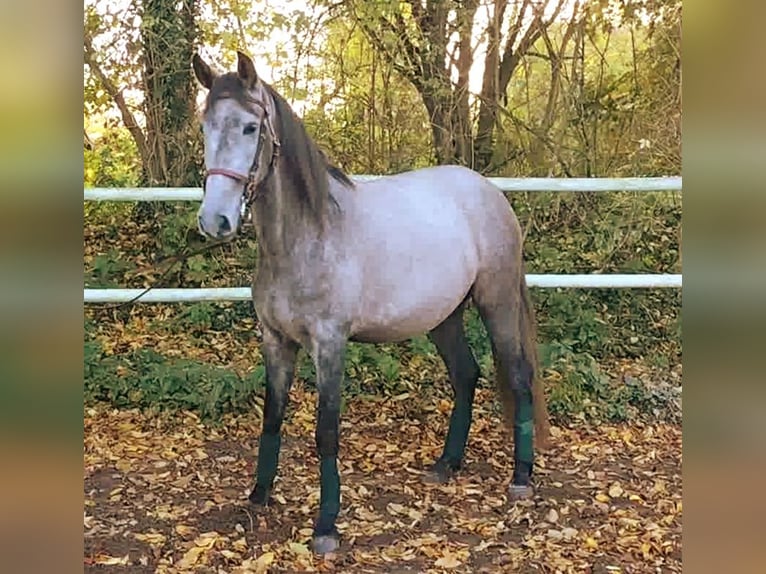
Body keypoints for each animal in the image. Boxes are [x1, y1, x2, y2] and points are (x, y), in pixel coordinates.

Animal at [194, 50, 552, 560]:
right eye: (206, 125)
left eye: (249, 127)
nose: (215, 220)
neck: (308, 235)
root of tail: (488, 192)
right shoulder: (275, 340)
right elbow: (272, 416)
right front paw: (259, 496)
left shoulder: (329, 345)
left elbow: (326, 432)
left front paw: (326, 527)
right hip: (444, 317)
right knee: (466, 375)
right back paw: (446, 464)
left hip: (496, 301)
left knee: (518, 376)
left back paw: (521, 478)